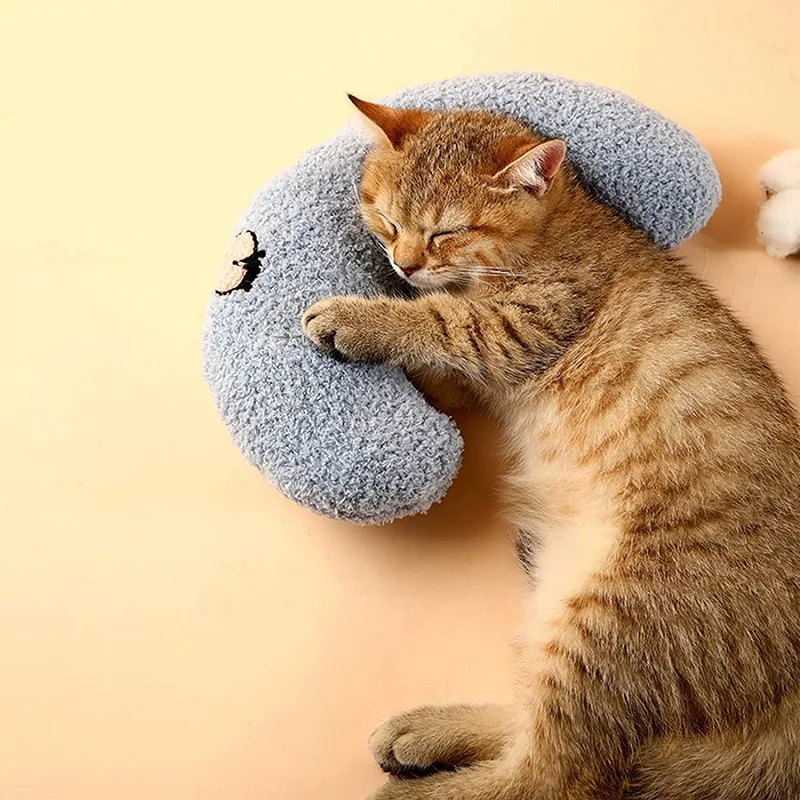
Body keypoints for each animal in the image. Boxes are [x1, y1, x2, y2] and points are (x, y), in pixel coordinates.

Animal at [300, 97, 800, 796]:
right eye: (388, 218)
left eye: (446, 232)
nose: (403, 264)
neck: (554, 228)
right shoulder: (478, 364)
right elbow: (441, 357)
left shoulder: (521, 323)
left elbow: (441, 320)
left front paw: (360, 317)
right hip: (559, 601)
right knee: (534, 729)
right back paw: (423, 735)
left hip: (612, 625)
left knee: (551, 773)